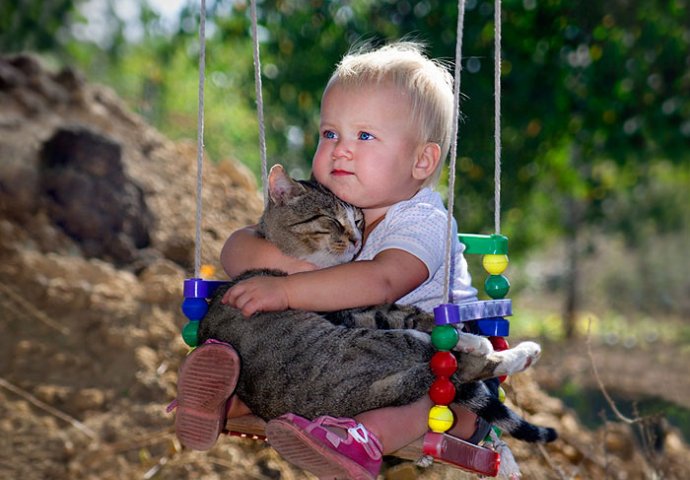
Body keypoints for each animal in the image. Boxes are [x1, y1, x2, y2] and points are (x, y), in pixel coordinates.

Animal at [196, 165, 556, 442]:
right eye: (330, 220)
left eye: (357, 221)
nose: (357, 240)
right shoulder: (356, 311)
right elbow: (413, 315)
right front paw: (471, 338)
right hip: (379, 344)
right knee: (456, 364)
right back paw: (511, 351)